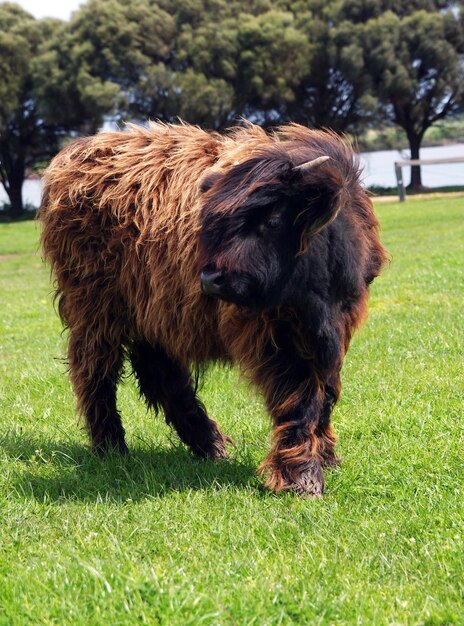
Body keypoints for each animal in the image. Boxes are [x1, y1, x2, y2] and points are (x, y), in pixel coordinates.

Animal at [39, 120, 388, 492]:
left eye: (273, 220)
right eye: (212, 221)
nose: (210, 278)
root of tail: (77, 155)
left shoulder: (338, 326)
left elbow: (327, 393)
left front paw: (327, 457)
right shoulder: (275, 337)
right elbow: (300, 399)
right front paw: (302, 476)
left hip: (154, 313)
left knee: (161, 375)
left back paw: (211, 446)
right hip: (96, 310)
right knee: (96, 372)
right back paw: (112, 447)